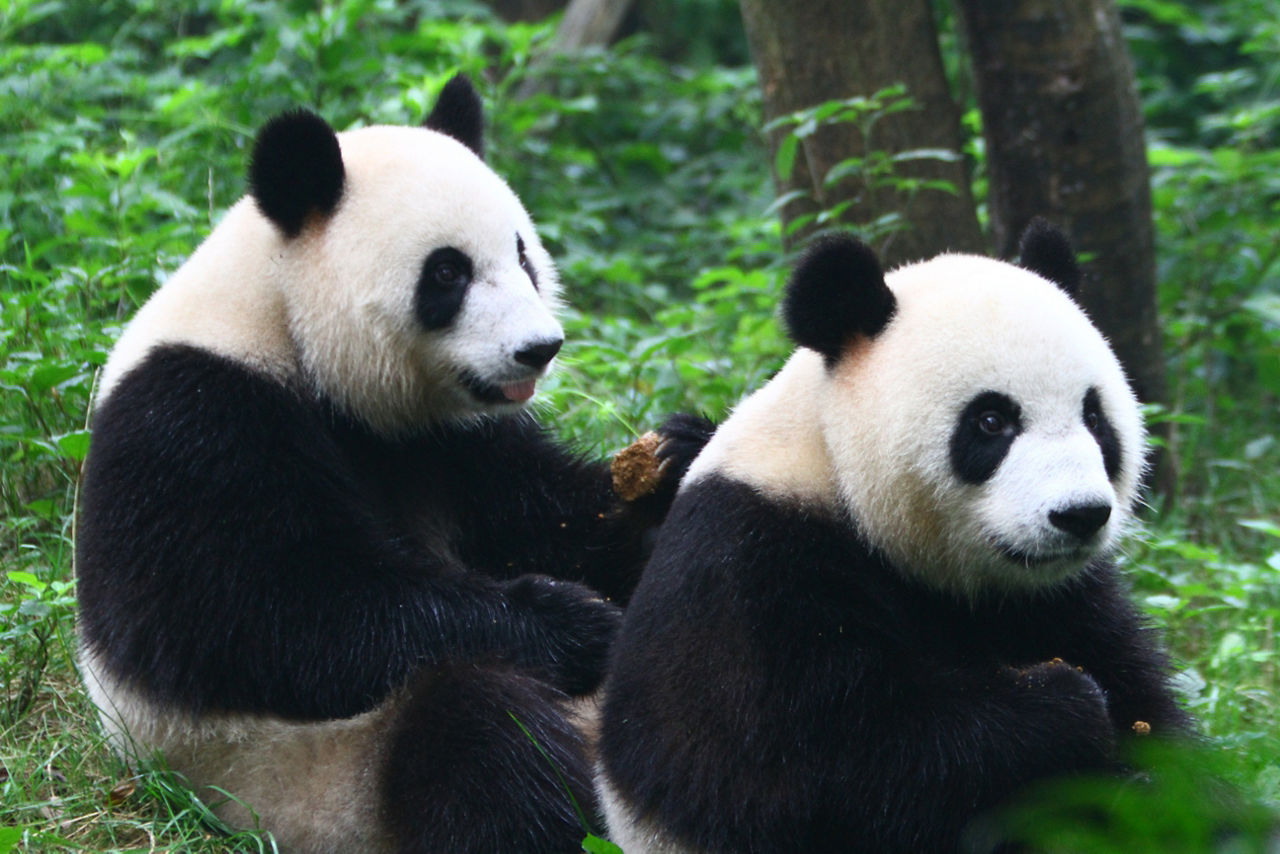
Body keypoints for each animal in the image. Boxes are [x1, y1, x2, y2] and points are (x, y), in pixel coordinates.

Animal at [76, 75, 716, 854]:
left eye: (523, 256)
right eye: (447, 272)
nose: (539, 349)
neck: (282, 318)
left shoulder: (451, 442)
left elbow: (544, 518)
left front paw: (676, 458)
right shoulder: (195, 416)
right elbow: (262, 611)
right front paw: (571, 621)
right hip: (312, 781)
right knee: (477, 735)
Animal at [593, 222, 1192, 854]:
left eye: (1095, 418)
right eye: (991, 422)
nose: (1080, 515)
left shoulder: (1064, 599)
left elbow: (1157, 731)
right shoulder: (747, 569)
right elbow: (803, 772)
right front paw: (1065, 702)